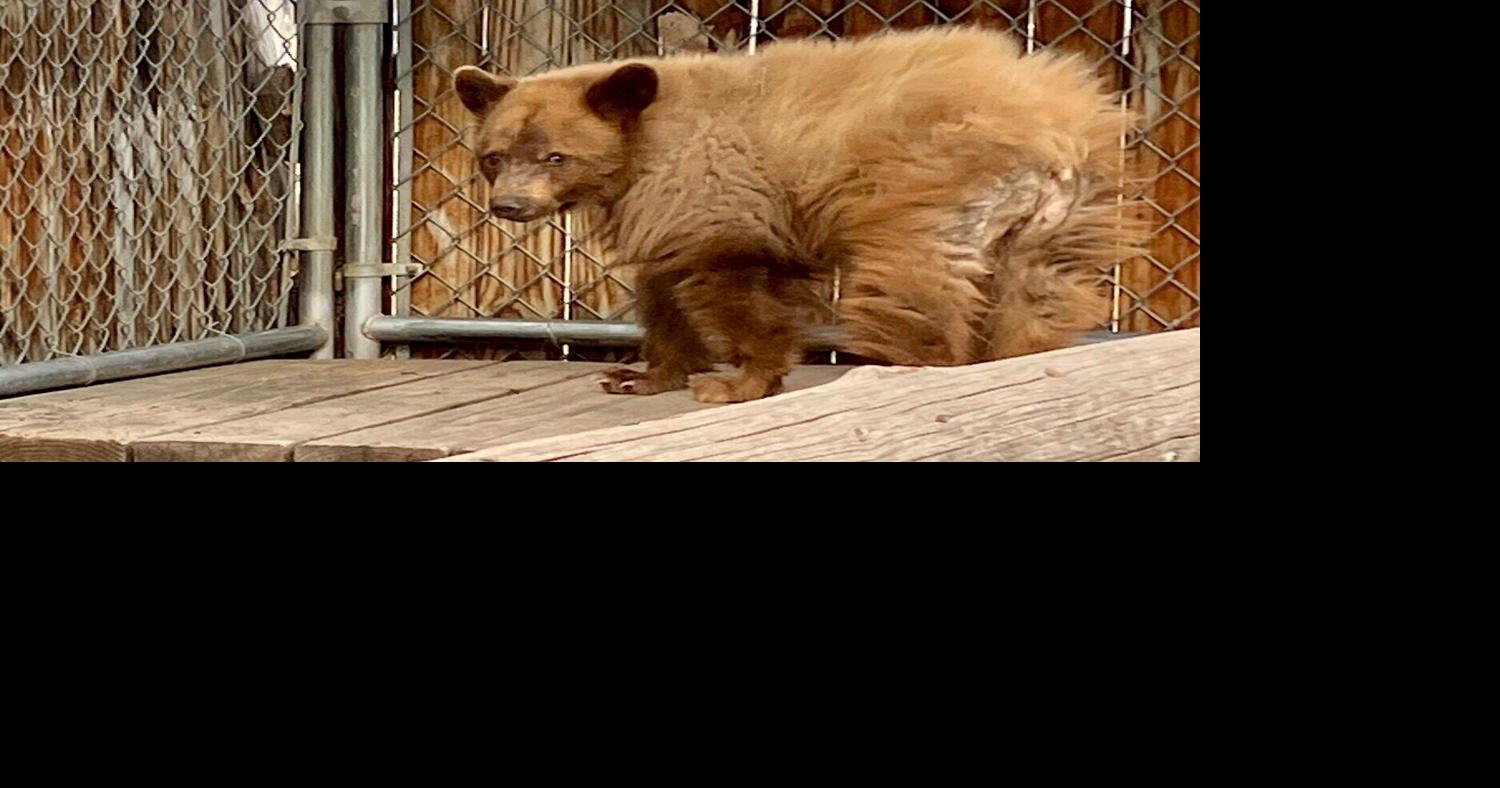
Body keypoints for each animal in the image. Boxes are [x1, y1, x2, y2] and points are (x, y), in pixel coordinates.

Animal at [453, 26, 1144, 403]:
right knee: (1038, 297)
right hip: (1056, 224)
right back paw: (1018, 359)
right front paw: (644, 375)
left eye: (556, 156)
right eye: (493, 156)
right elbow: (663, 284)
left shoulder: (715, 186)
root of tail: (1055, 131)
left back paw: (909, 368)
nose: (509, 205)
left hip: (930, 195)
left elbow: (729, 284)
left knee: (913, 288)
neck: (642, 138)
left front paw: (738, 382)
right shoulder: (670, 203)